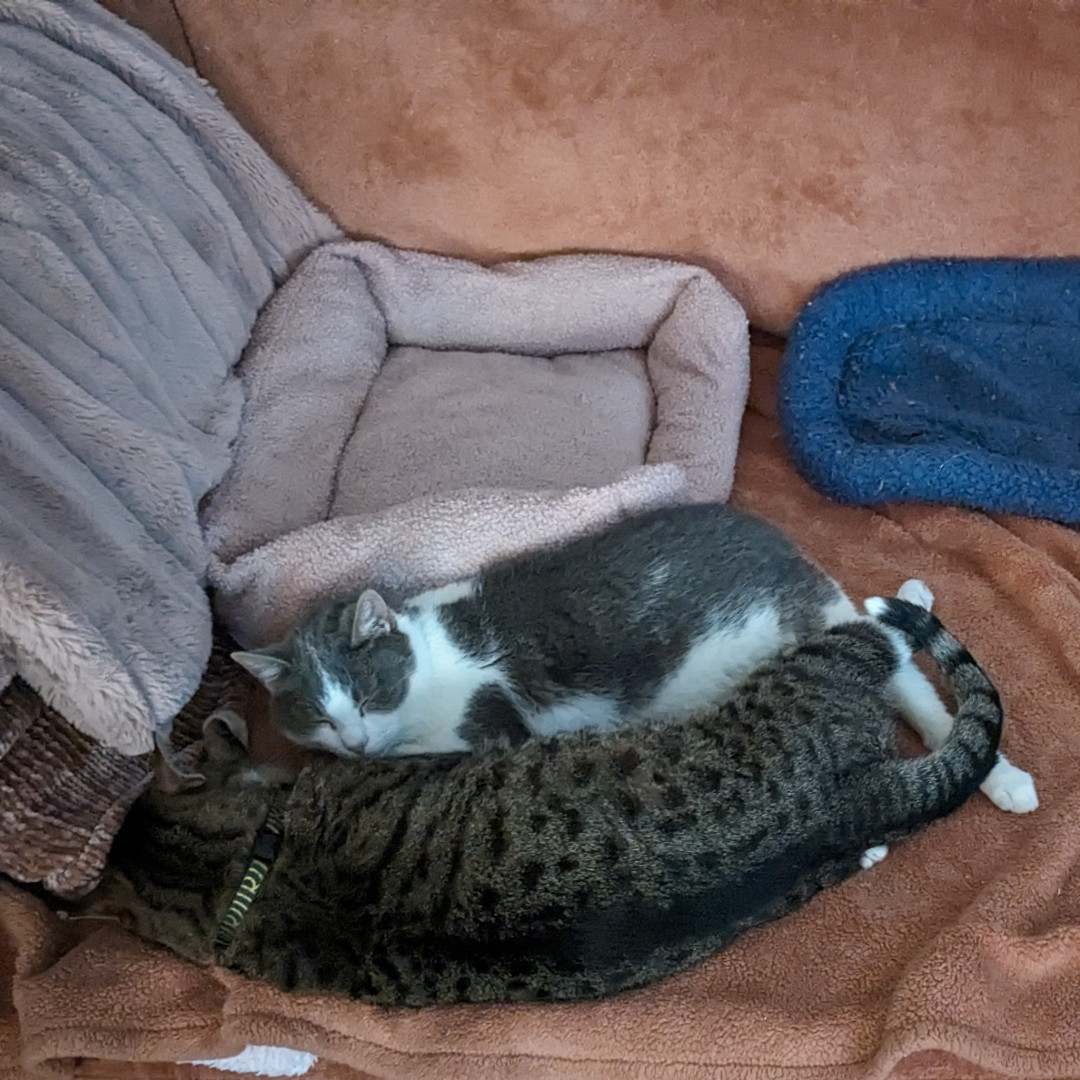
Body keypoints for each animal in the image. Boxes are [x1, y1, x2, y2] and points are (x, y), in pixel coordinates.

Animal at [233, 502, 1036, 815]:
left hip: (807, 619)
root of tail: (787, 550)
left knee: (914, 678)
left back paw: (1002, 776)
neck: (430, 650)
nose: (353, 740)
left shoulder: (484, 726)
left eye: (370, 695)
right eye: (317, 714)